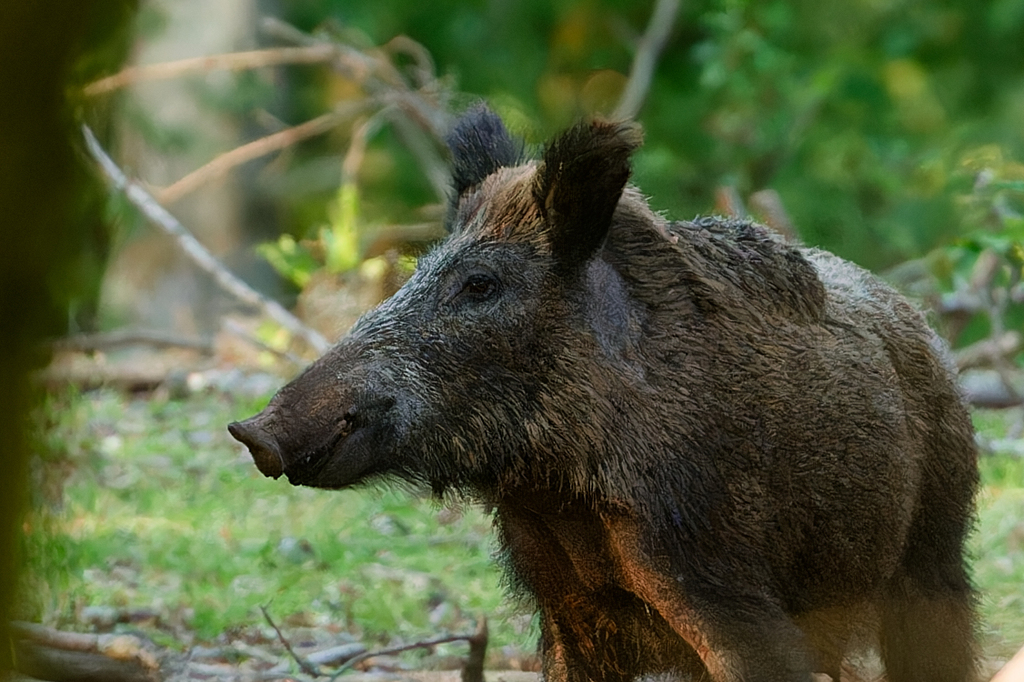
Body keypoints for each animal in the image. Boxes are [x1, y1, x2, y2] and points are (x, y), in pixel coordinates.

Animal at [229, 106, 979, 682]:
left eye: (480, 284)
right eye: (417, 270)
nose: (253, 431)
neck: (561, 492)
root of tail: (918, 324)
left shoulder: (723, 586)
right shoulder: (565, 613)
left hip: (934, 552)